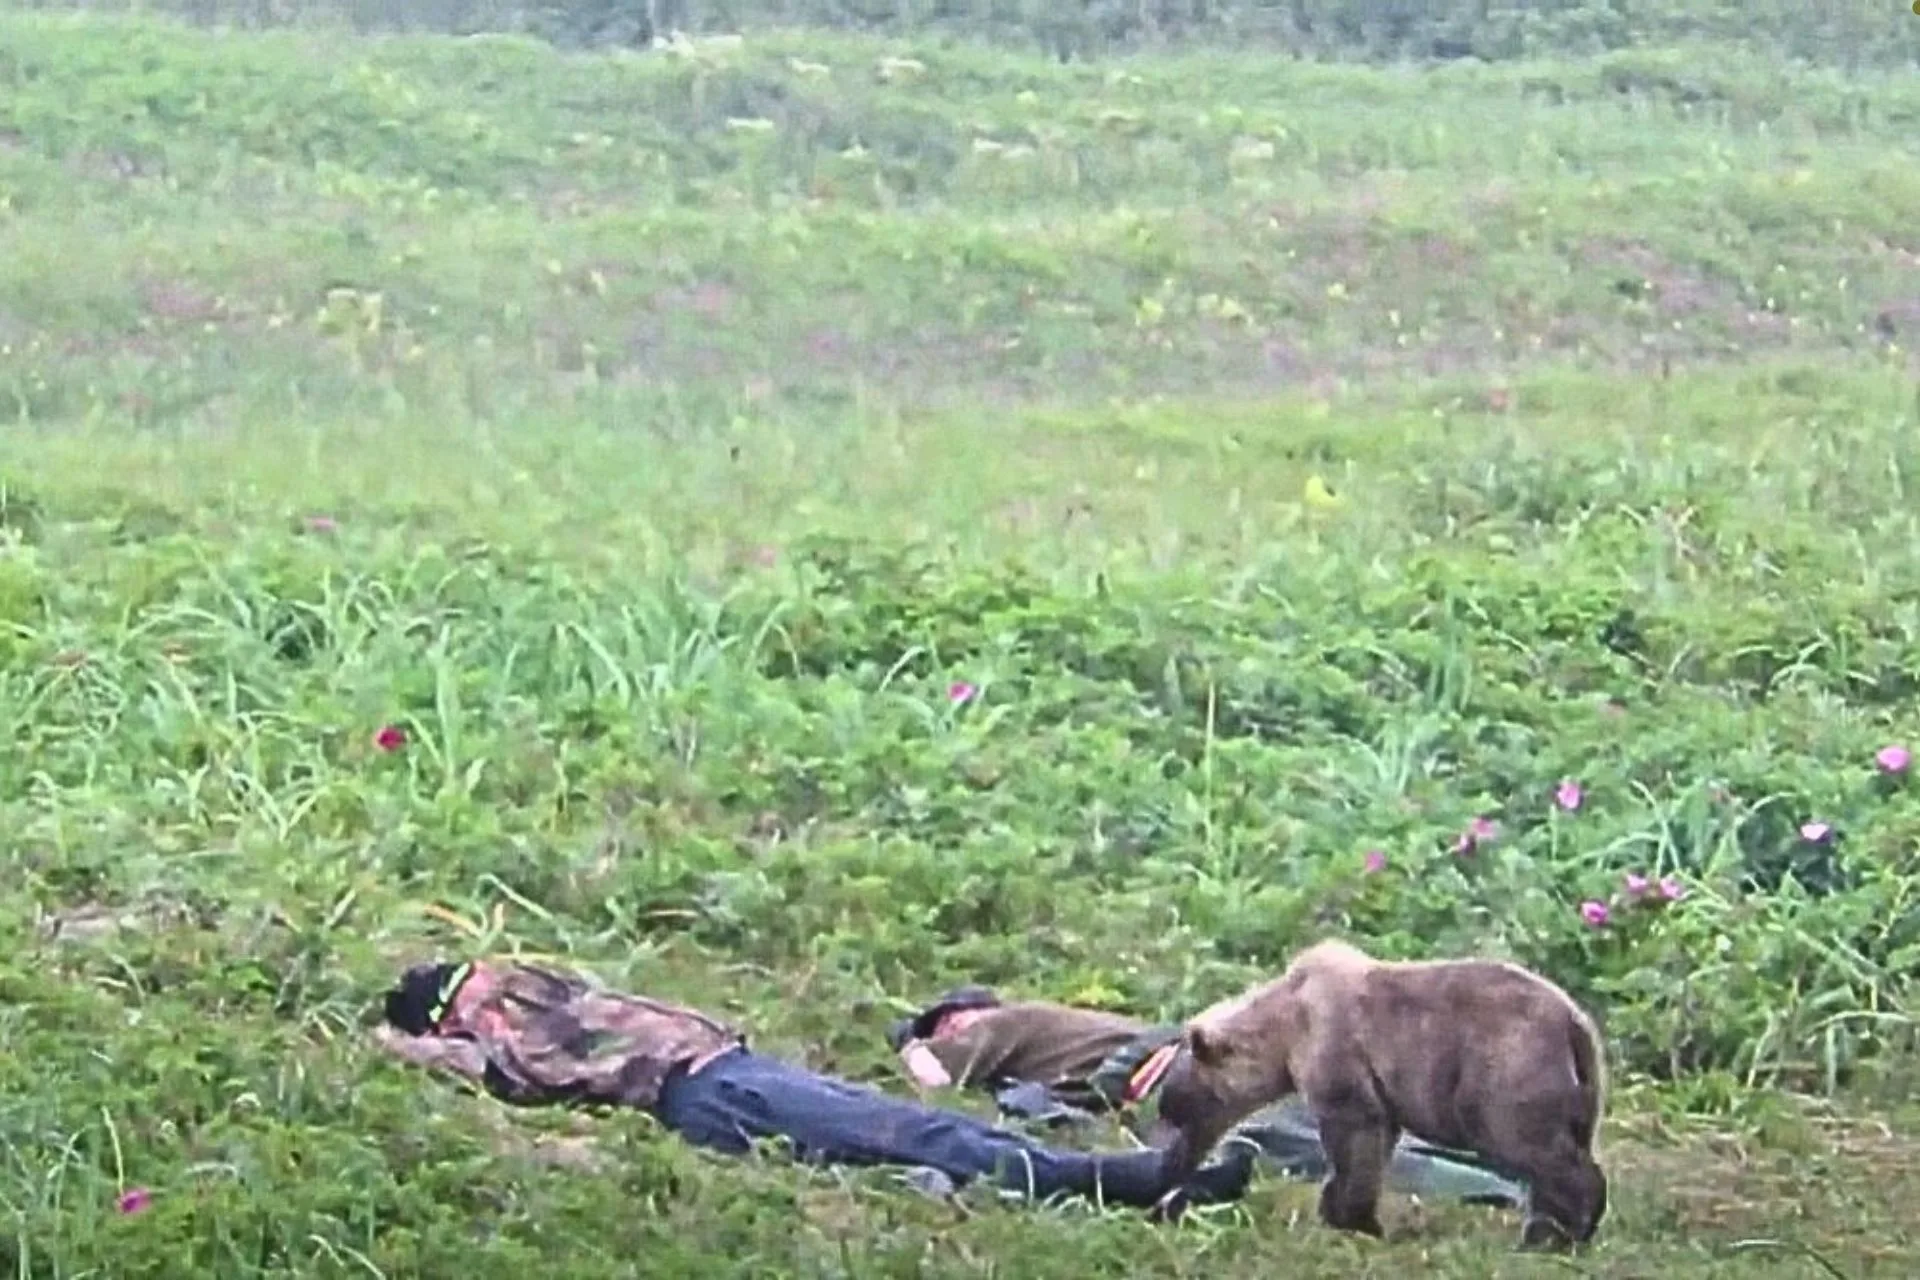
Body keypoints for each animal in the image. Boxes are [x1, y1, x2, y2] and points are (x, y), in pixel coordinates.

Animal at [1149, 938, 1608, 1250]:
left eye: (1178, 1110)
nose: (1171, 1164)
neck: (1283, 1034)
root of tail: (1576, 1022)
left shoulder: (1338, 1052)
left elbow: (1354, 1137)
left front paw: (1349, 1219)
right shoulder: (1379, 1087)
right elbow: (1374, 1146)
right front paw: (1346, 1214)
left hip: (1504, 1068)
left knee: (1534, 1149)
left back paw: (1555, 1233)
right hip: (1579, 1087)